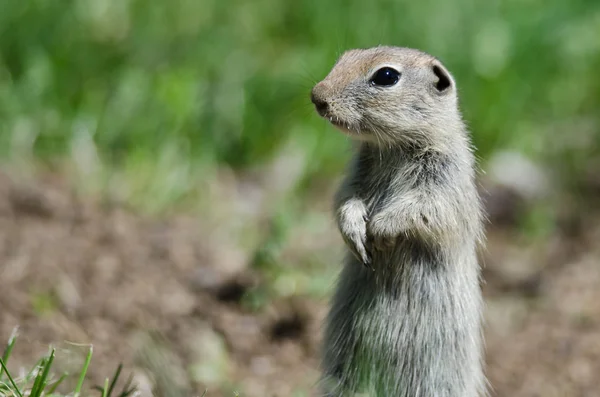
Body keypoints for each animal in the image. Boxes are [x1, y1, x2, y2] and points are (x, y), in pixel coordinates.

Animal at [312, 46, 486, 396]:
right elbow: (345, 200)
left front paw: (380, 229)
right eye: (344, 57)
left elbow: (426, 209)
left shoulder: (444, 180)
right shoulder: (354, 174)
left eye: (386, 76)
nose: (317, 96)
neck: (391, 147)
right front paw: (355, 232)